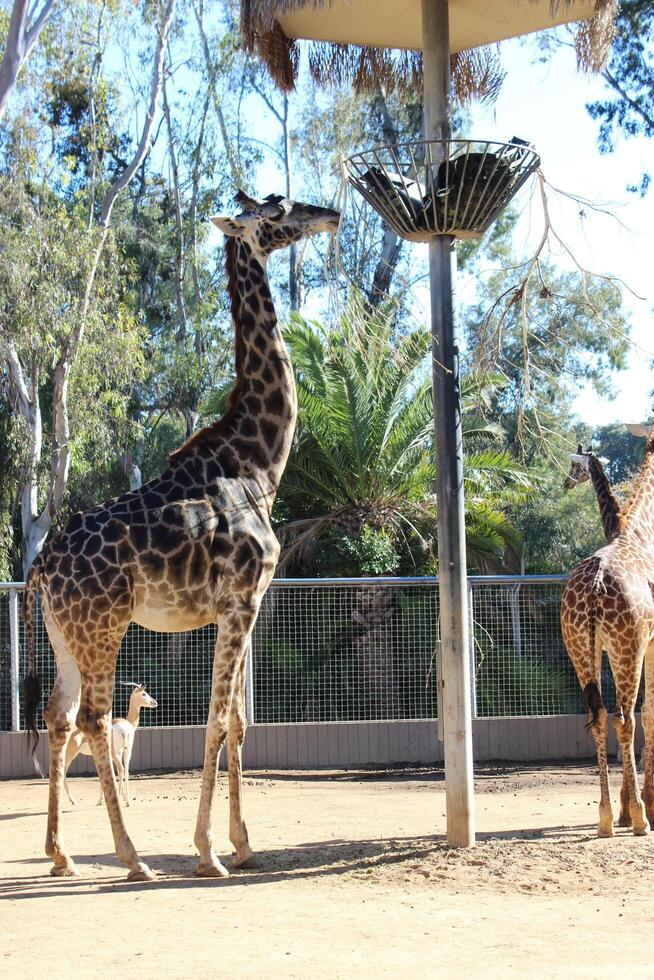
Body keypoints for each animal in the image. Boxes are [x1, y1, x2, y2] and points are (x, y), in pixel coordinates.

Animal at [23, 191, 340, 880]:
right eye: (278, 209)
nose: (328, 214)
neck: (257, 463)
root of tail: (40, 568)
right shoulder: (241, 601)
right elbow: (218, 721)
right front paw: (208, 852)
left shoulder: (241, 606)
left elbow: (241, 722)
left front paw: (245, 845)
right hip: (105, 625)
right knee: (93, 718)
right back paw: (133, 858)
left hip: (64, 632)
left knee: (57, 716)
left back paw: (62, 855)